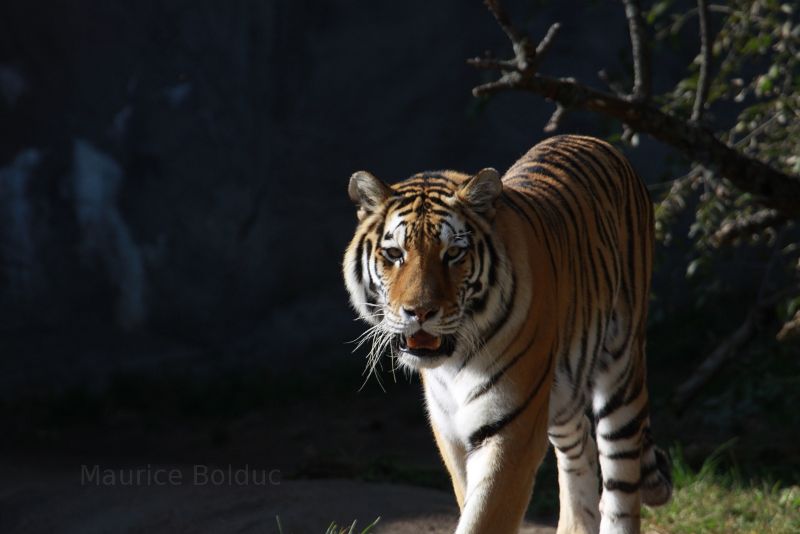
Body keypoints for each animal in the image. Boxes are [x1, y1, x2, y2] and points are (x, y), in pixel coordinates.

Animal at [340, 135, 672, 534]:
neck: (454, 363)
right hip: (563, 393)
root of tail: (593, 141)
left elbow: (484, 517)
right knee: (580, 446)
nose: (419, 312)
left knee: (621, 479)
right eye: (393, 254)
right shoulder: (451, 433)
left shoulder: (511, 429)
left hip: (621, 371)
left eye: (453, 253)